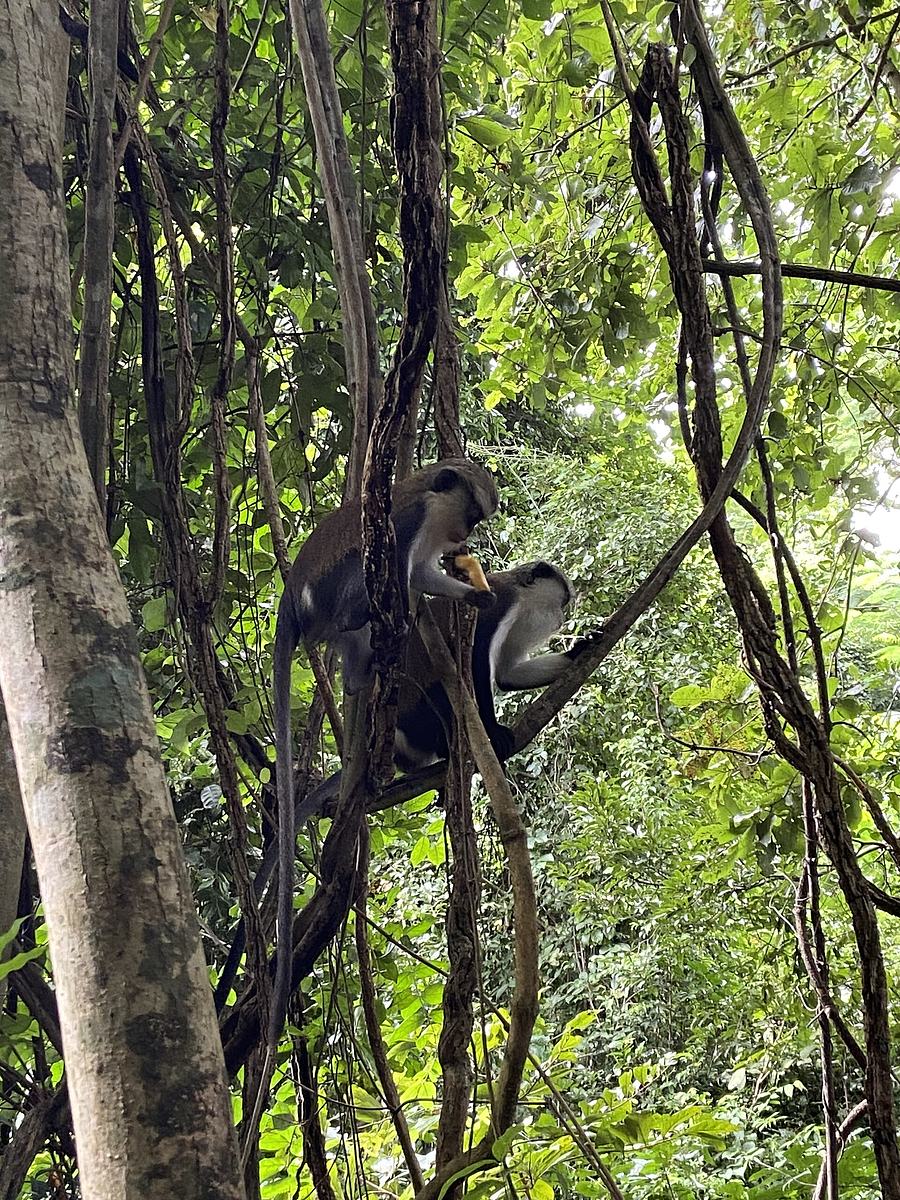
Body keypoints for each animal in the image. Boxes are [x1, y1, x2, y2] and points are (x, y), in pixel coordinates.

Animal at [267, 459, 499, 1047]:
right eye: (471, 513)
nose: (464, 539)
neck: (430, 501)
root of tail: (291, 599)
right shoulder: (408, 523)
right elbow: (403, 571)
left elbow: (423, 577)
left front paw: (475, 593)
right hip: (332, 596)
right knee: (372, 593)